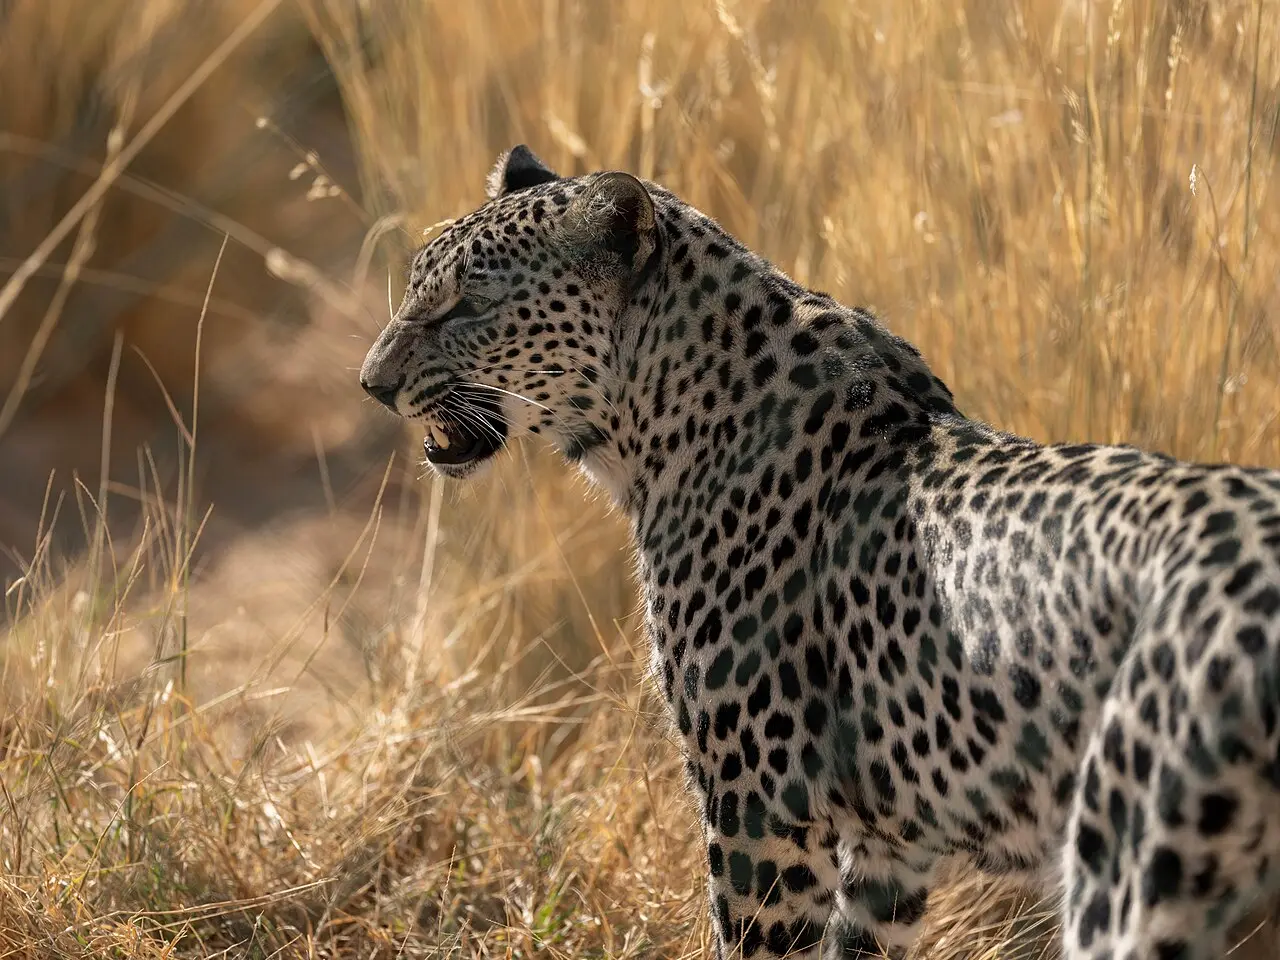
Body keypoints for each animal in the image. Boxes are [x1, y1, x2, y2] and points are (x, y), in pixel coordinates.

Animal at [359, 144, 1280, 960]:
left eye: (464, 307)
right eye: (417, 289)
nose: (371, 383)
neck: (655, 425)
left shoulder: (761, 812)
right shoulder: (890, 846)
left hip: (1132, 879)